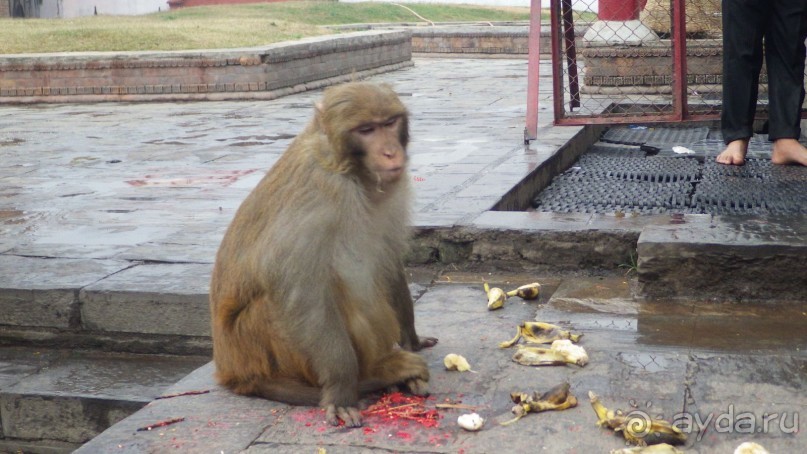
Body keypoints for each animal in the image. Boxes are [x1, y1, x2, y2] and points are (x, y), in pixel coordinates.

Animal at [208, 82, 436, 430]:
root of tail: (233, 372)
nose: (390, 152)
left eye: (389, 123)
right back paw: (376, 374)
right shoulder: (320, 195)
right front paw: (342, 390)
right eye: (366, 130)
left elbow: (386, 259)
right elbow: (299, 289)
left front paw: (411, 336)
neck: (348, 168)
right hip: (260, 348)